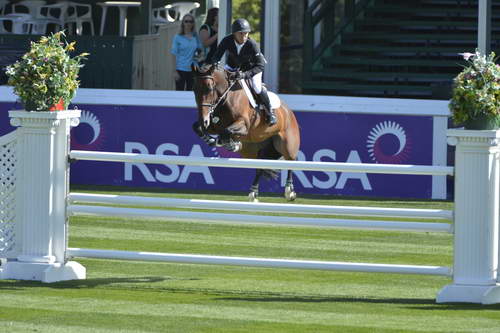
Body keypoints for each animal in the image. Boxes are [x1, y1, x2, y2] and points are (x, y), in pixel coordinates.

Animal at [191, 63, 300, 201]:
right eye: (194, 89)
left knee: (291, 160)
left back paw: (289, 191)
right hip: (252, 151)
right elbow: (198, 128)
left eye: (210, 88)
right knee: (260, 166)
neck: (226, 98)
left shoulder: (244, 125)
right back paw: (253, 192)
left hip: (287, 144)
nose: (203, 120)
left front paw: (231, 144)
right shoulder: (213, 126)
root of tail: (289, 112)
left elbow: (226, 131)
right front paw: (214, 141)